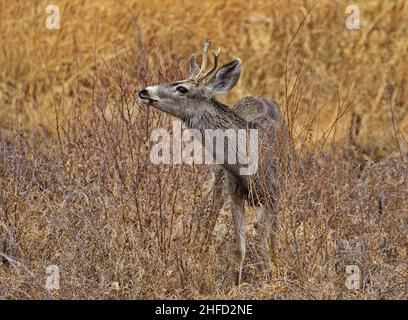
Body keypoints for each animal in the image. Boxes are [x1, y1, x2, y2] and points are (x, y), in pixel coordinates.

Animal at [139, 38, 292, 284]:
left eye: (182, 88)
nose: (144, 91)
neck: (249, 165)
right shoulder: (234, 192)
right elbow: (240, 247)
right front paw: (236, 282)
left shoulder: (276, 191)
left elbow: (270, 237)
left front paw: (272, 271)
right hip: (220, 178)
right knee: (213, 213)